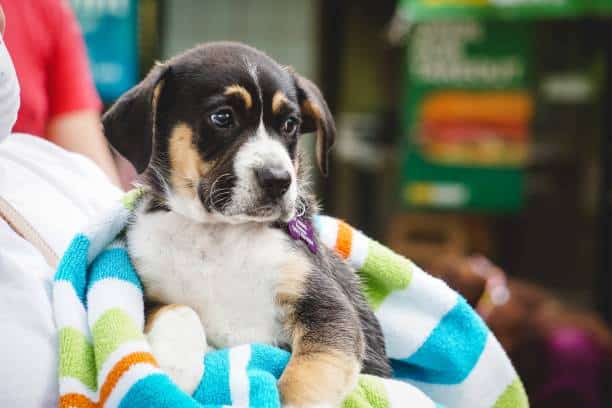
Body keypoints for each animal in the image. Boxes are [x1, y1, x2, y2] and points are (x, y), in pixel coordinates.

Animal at [102, 43, 390, 406]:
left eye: (290, 124)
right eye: (222, 117)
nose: (279, 180)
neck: (218, 233)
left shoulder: (327, 308)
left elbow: (307, 380)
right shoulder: (149, 293)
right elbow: (179, 310)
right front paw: (170, 369)